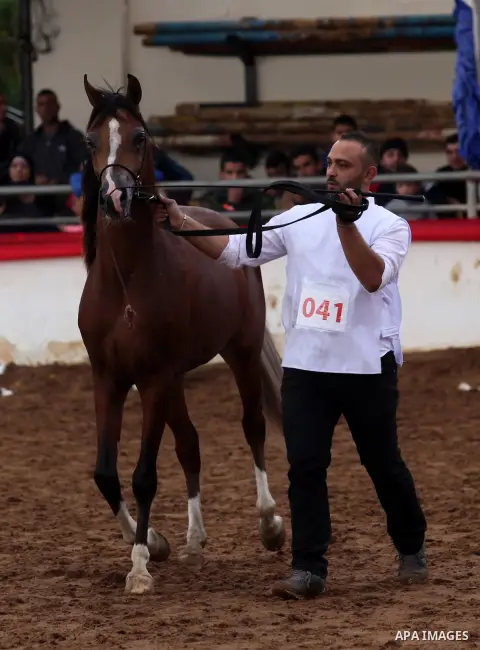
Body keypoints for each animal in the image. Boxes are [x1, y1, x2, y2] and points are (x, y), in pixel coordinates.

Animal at [77, 73, 286, 595]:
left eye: (139, 136)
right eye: (90, 140)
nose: (115, 197)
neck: (127, 285)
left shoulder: (152, 379)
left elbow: (144, 475)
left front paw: (138, 568)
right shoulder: (109, 378)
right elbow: (106, 474)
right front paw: (155, 543)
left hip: (240, 352)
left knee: (253, 427)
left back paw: (270, 523)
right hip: (174, 382)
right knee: (189, 444)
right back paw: (194, 541)